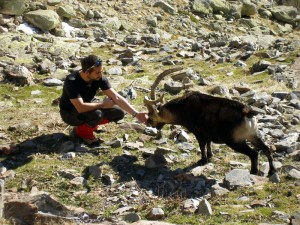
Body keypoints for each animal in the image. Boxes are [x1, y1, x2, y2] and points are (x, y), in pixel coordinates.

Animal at [144, 67, 278, 177]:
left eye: (151, 115)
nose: (148, 123)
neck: (181, 108)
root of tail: (247, 112)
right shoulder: (208, 133)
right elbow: (209, 144)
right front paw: (210, 156)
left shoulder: (199, 133)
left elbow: (202, 146)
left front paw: (202, 160)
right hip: (253, 135)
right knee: (266, 148)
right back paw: (272, 171)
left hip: (235, 140)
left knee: (254, 153)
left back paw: (253, 172)